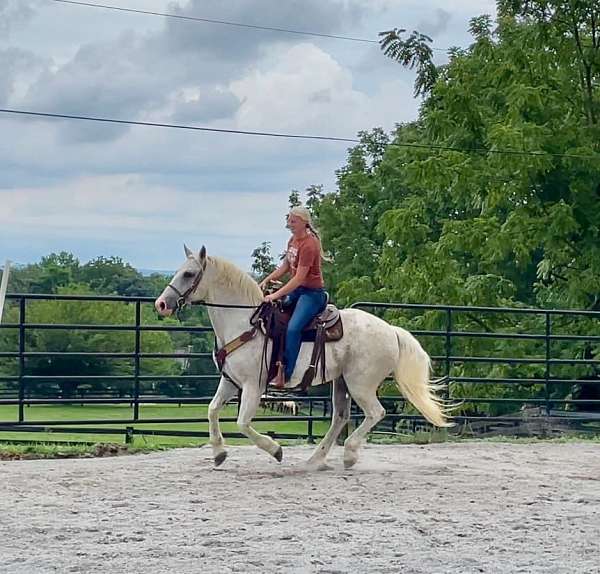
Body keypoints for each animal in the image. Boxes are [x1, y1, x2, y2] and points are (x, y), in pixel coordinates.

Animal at [156, 245, 450, 470]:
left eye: (189, 273)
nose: (161, 304)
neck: (244, 323)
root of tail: (391, 331)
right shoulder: (230, 381)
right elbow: (212, 410)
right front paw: (219, 453)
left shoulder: (253, 386)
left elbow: (242, 423)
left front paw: (275, 450)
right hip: (341, 382)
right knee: (340, 417)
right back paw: (315, 460)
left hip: (361, 384)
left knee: (375, 413)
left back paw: (349, 454)